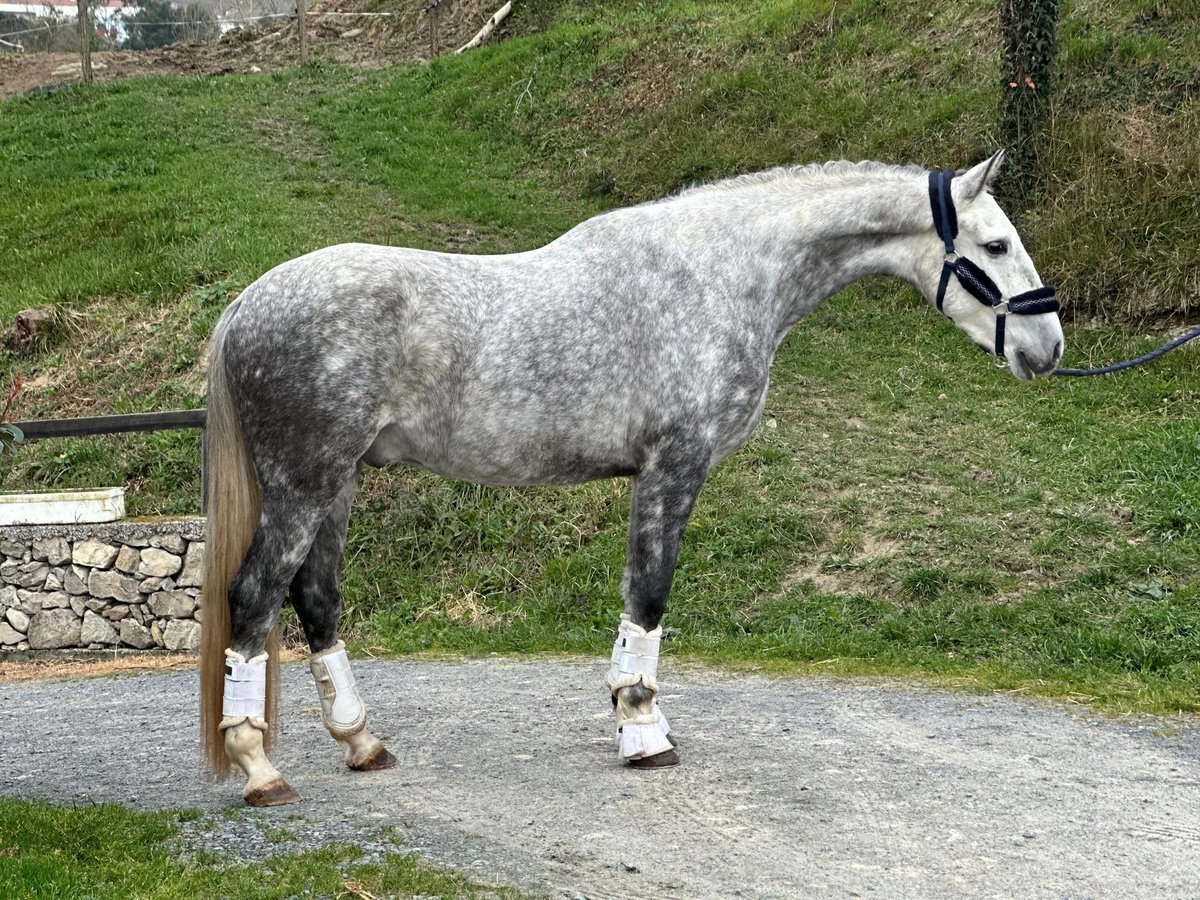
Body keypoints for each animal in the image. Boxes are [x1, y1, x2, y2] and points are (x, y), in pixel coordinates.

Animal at [201, 151, 1065, 806]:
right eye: (994, 245)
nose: (1049, 346)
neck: (720, 275)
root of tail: (247, 305)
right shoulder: (673, 468)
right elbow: (649, 598)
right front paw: (643, 731)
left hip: (336, 484)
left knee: (316, 599)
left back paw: (362, 743)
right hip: (306, 482)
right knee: (255, 595)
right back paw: (259, 768)